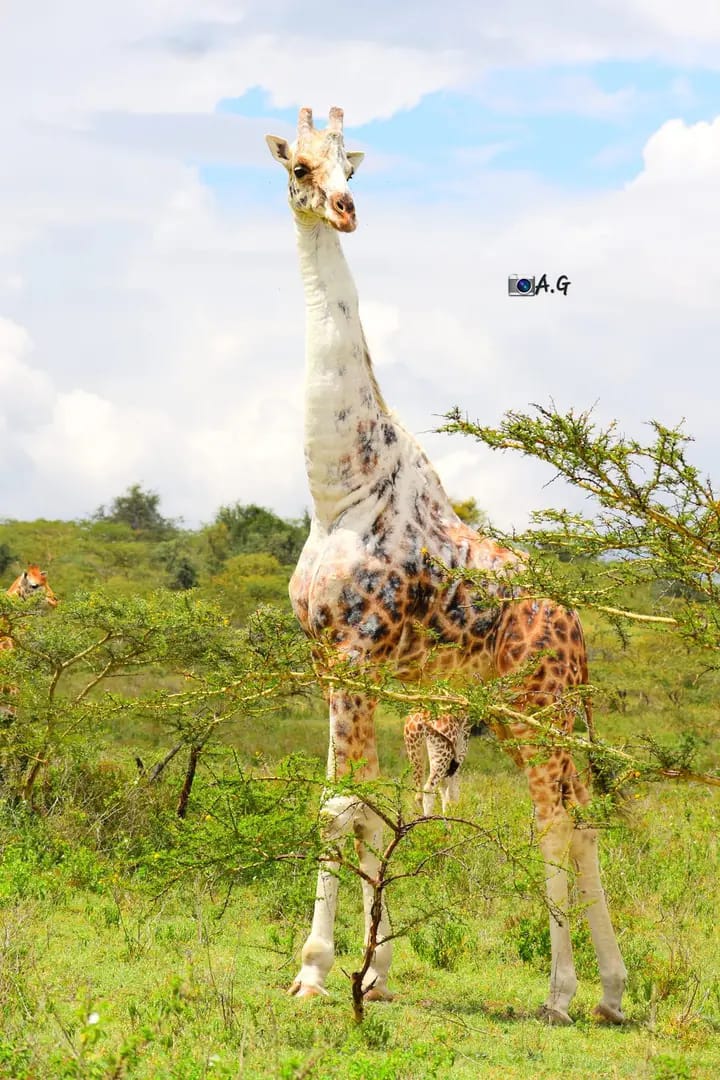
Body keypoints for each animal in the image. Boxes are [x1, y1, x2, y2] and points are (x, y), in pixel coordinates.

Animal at [265, 106, 626, 1025]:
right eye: (299, 167)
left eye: (351, 165)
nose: (345, 208)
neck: (338, 488)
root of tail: (576, 625)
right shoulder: (330, 664)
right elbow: (360, 808)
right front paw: (373, 974)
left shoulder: (359, 654)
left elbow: (342, 807)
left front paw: (317, 972)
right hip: (536, 712)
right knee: (583, 818)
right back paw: (610, 992)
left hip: (538, 707)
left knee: (555, 820)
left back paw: (562, 995)